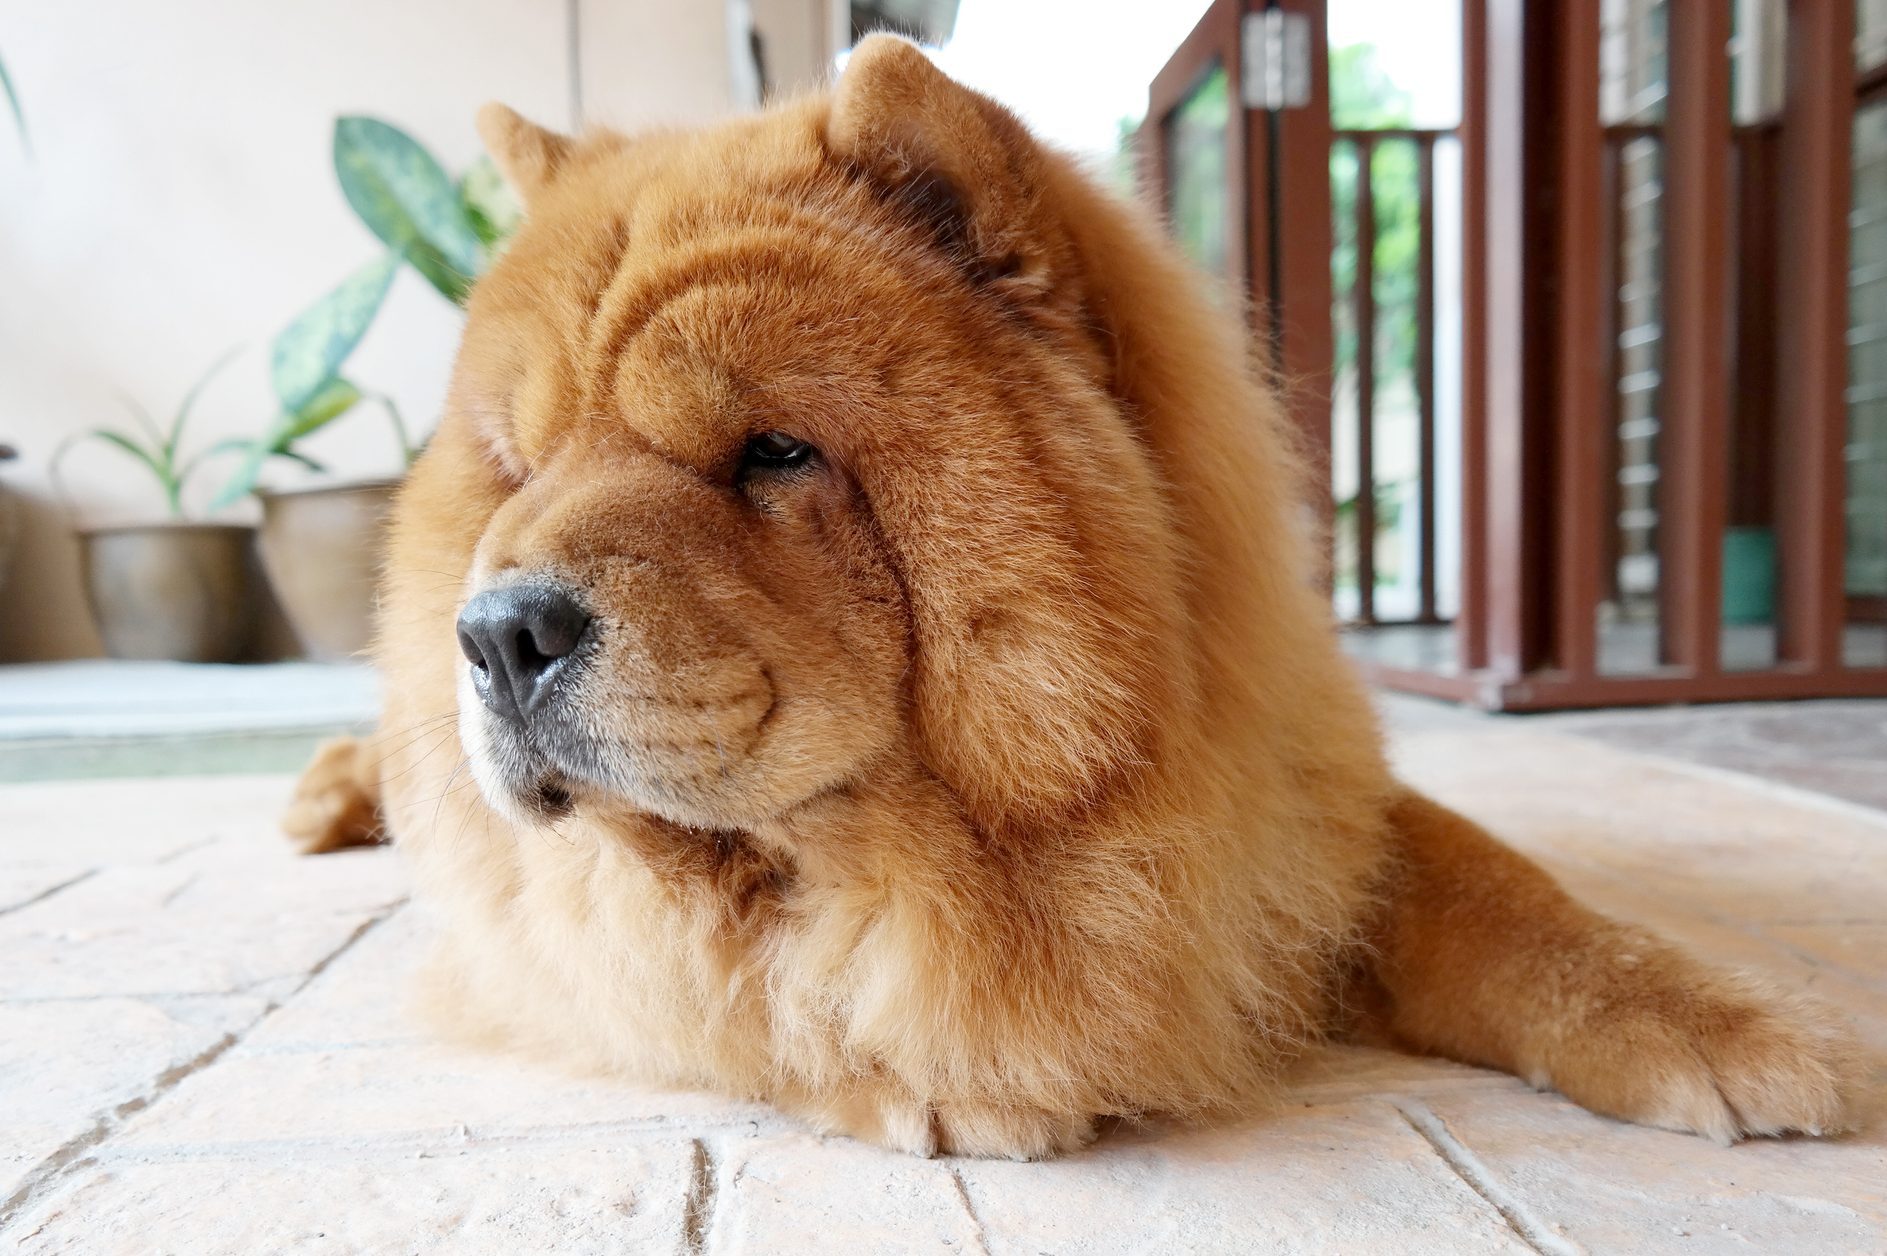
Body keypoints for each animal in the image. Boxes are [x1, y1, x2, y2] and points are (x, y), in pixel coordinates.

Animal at [290, 36, 1856, 1154]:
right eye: (519, 468)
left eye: (775, 453)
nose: (496, 632)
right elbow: (731, 973)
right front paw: (962, 1057)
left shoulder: (1300, 812)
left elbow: (1513, 898)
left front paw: (1731, 1026)